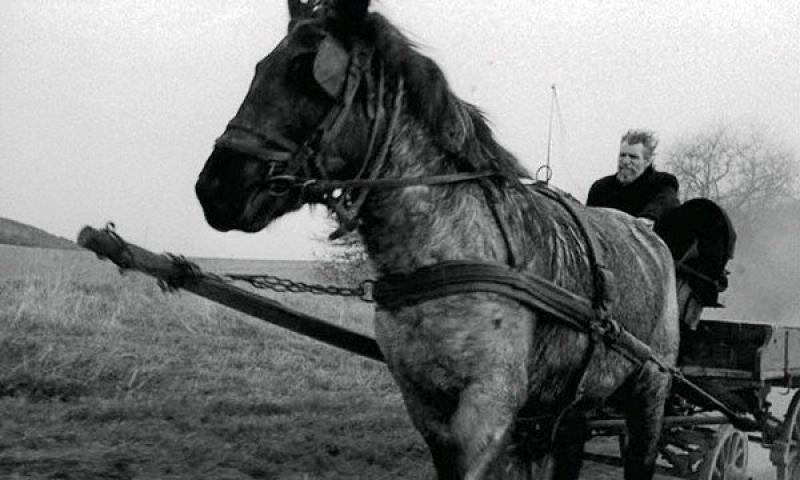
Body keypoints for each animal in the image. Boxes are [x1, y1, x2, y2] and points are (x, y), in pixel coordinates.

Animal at [195, 1, 679, 478]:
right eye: (260, 68)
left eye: (305, 72)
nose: (214, 188)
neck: (445, 251)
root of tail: (651, 239)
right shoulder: (424, 404)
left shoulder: (490, 406)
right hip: (575, 405)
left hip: (650, 389)